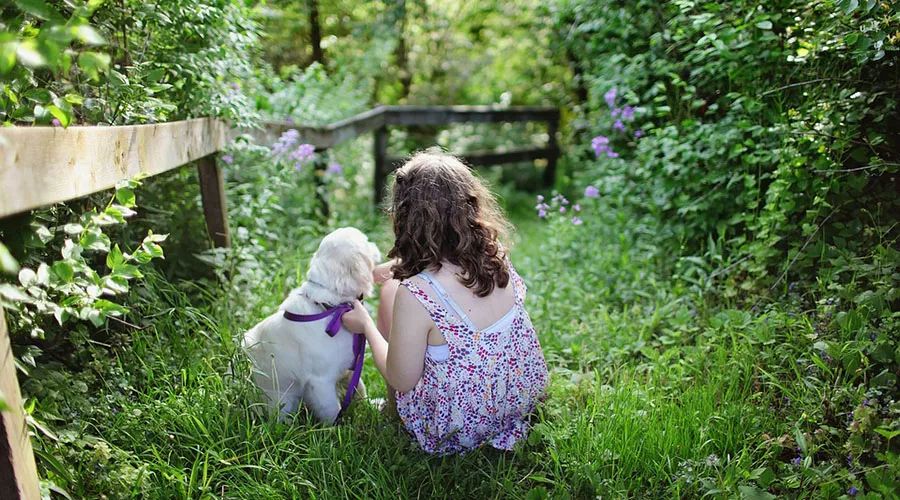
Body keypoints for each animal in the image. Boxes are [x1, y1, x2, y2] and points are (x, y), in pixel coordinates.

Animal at [241, 227, 378, 422]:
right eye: (366, 242)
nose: (375, 245)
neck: (329, 307)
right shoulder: (320, 382)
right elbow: (332, 409)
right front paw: (339, 427)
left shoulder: (349, 367)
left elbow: (359, 388)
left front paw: (371, 406)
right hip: (282, 401)